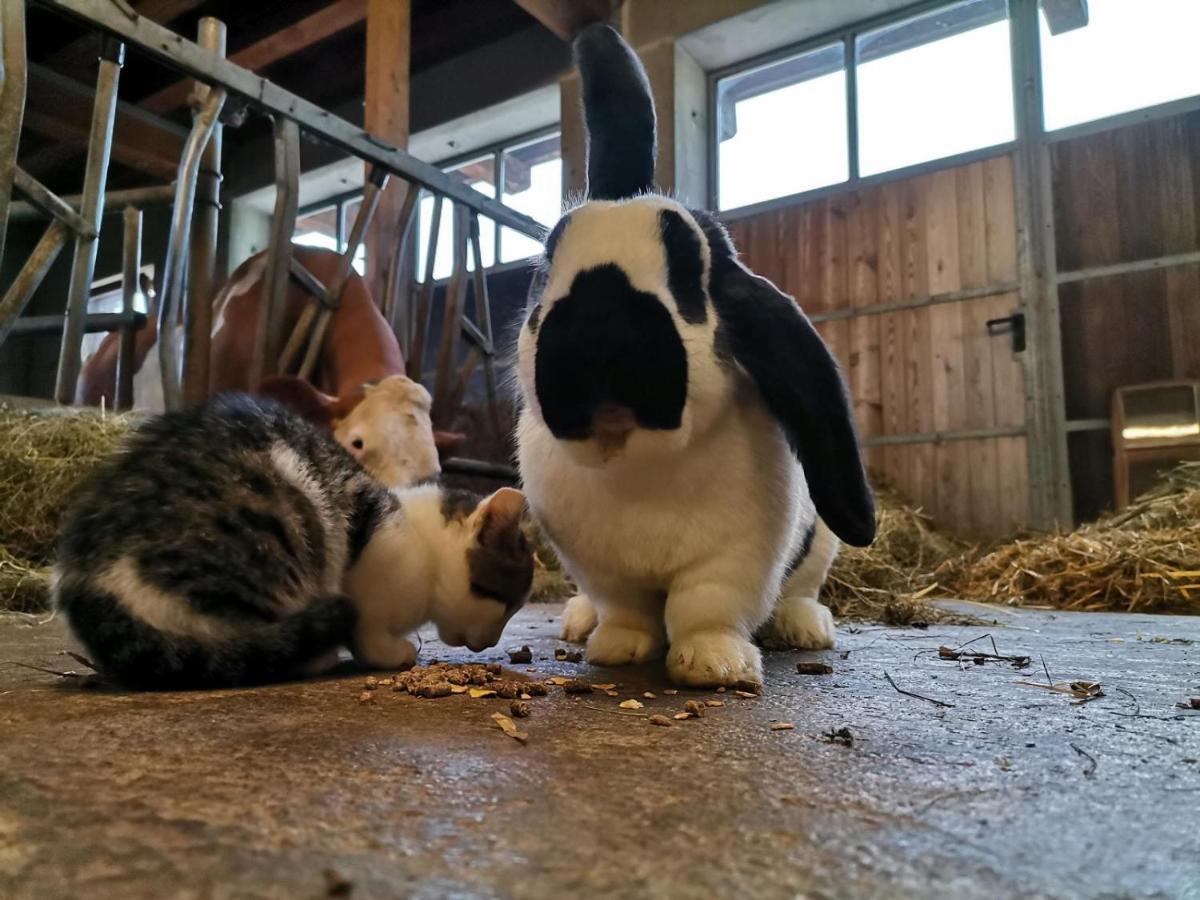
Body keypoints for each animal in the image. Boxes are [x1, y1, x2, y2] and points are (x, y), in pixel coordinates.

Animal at [51, 396, 530, 691]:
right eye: (503, 601)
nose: (490, 641)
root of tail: (88, 580)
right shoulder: (380, 554)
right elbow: (369, 623)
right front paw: (391, 652)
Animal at [513, 24, 873, 686]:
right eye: (547, 266)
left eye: (690, 275)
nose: (597, 333)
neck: (635, 465)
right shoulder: (603, 569)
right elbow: (626, 608)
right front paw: (617, 648)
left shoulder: (735, 558)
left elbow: (704, 606)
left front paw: (714, 665)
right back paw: (580, 622)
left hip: (821, 545)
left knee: (800, 589)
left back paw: (805, 627)